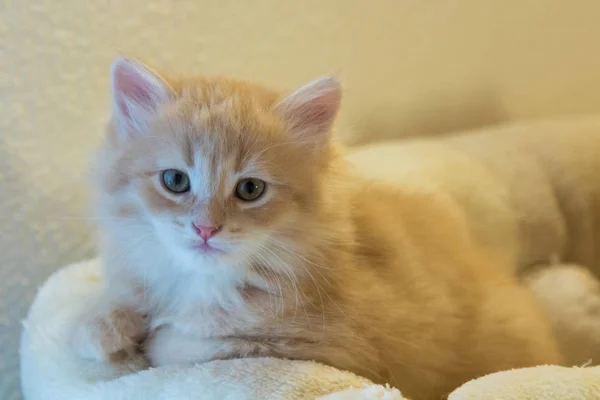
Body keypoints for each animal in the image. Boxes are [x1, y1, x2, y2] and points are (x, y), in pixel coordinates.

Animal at [71, 56, 564, 400]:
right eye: (175, 181)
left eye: (249, 189)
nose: (205, 228)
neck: (209, 282)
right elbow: (119, 297)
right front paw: (102, 324)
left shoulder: (334, 350)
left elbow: (186, 344)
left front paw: (151, 341)